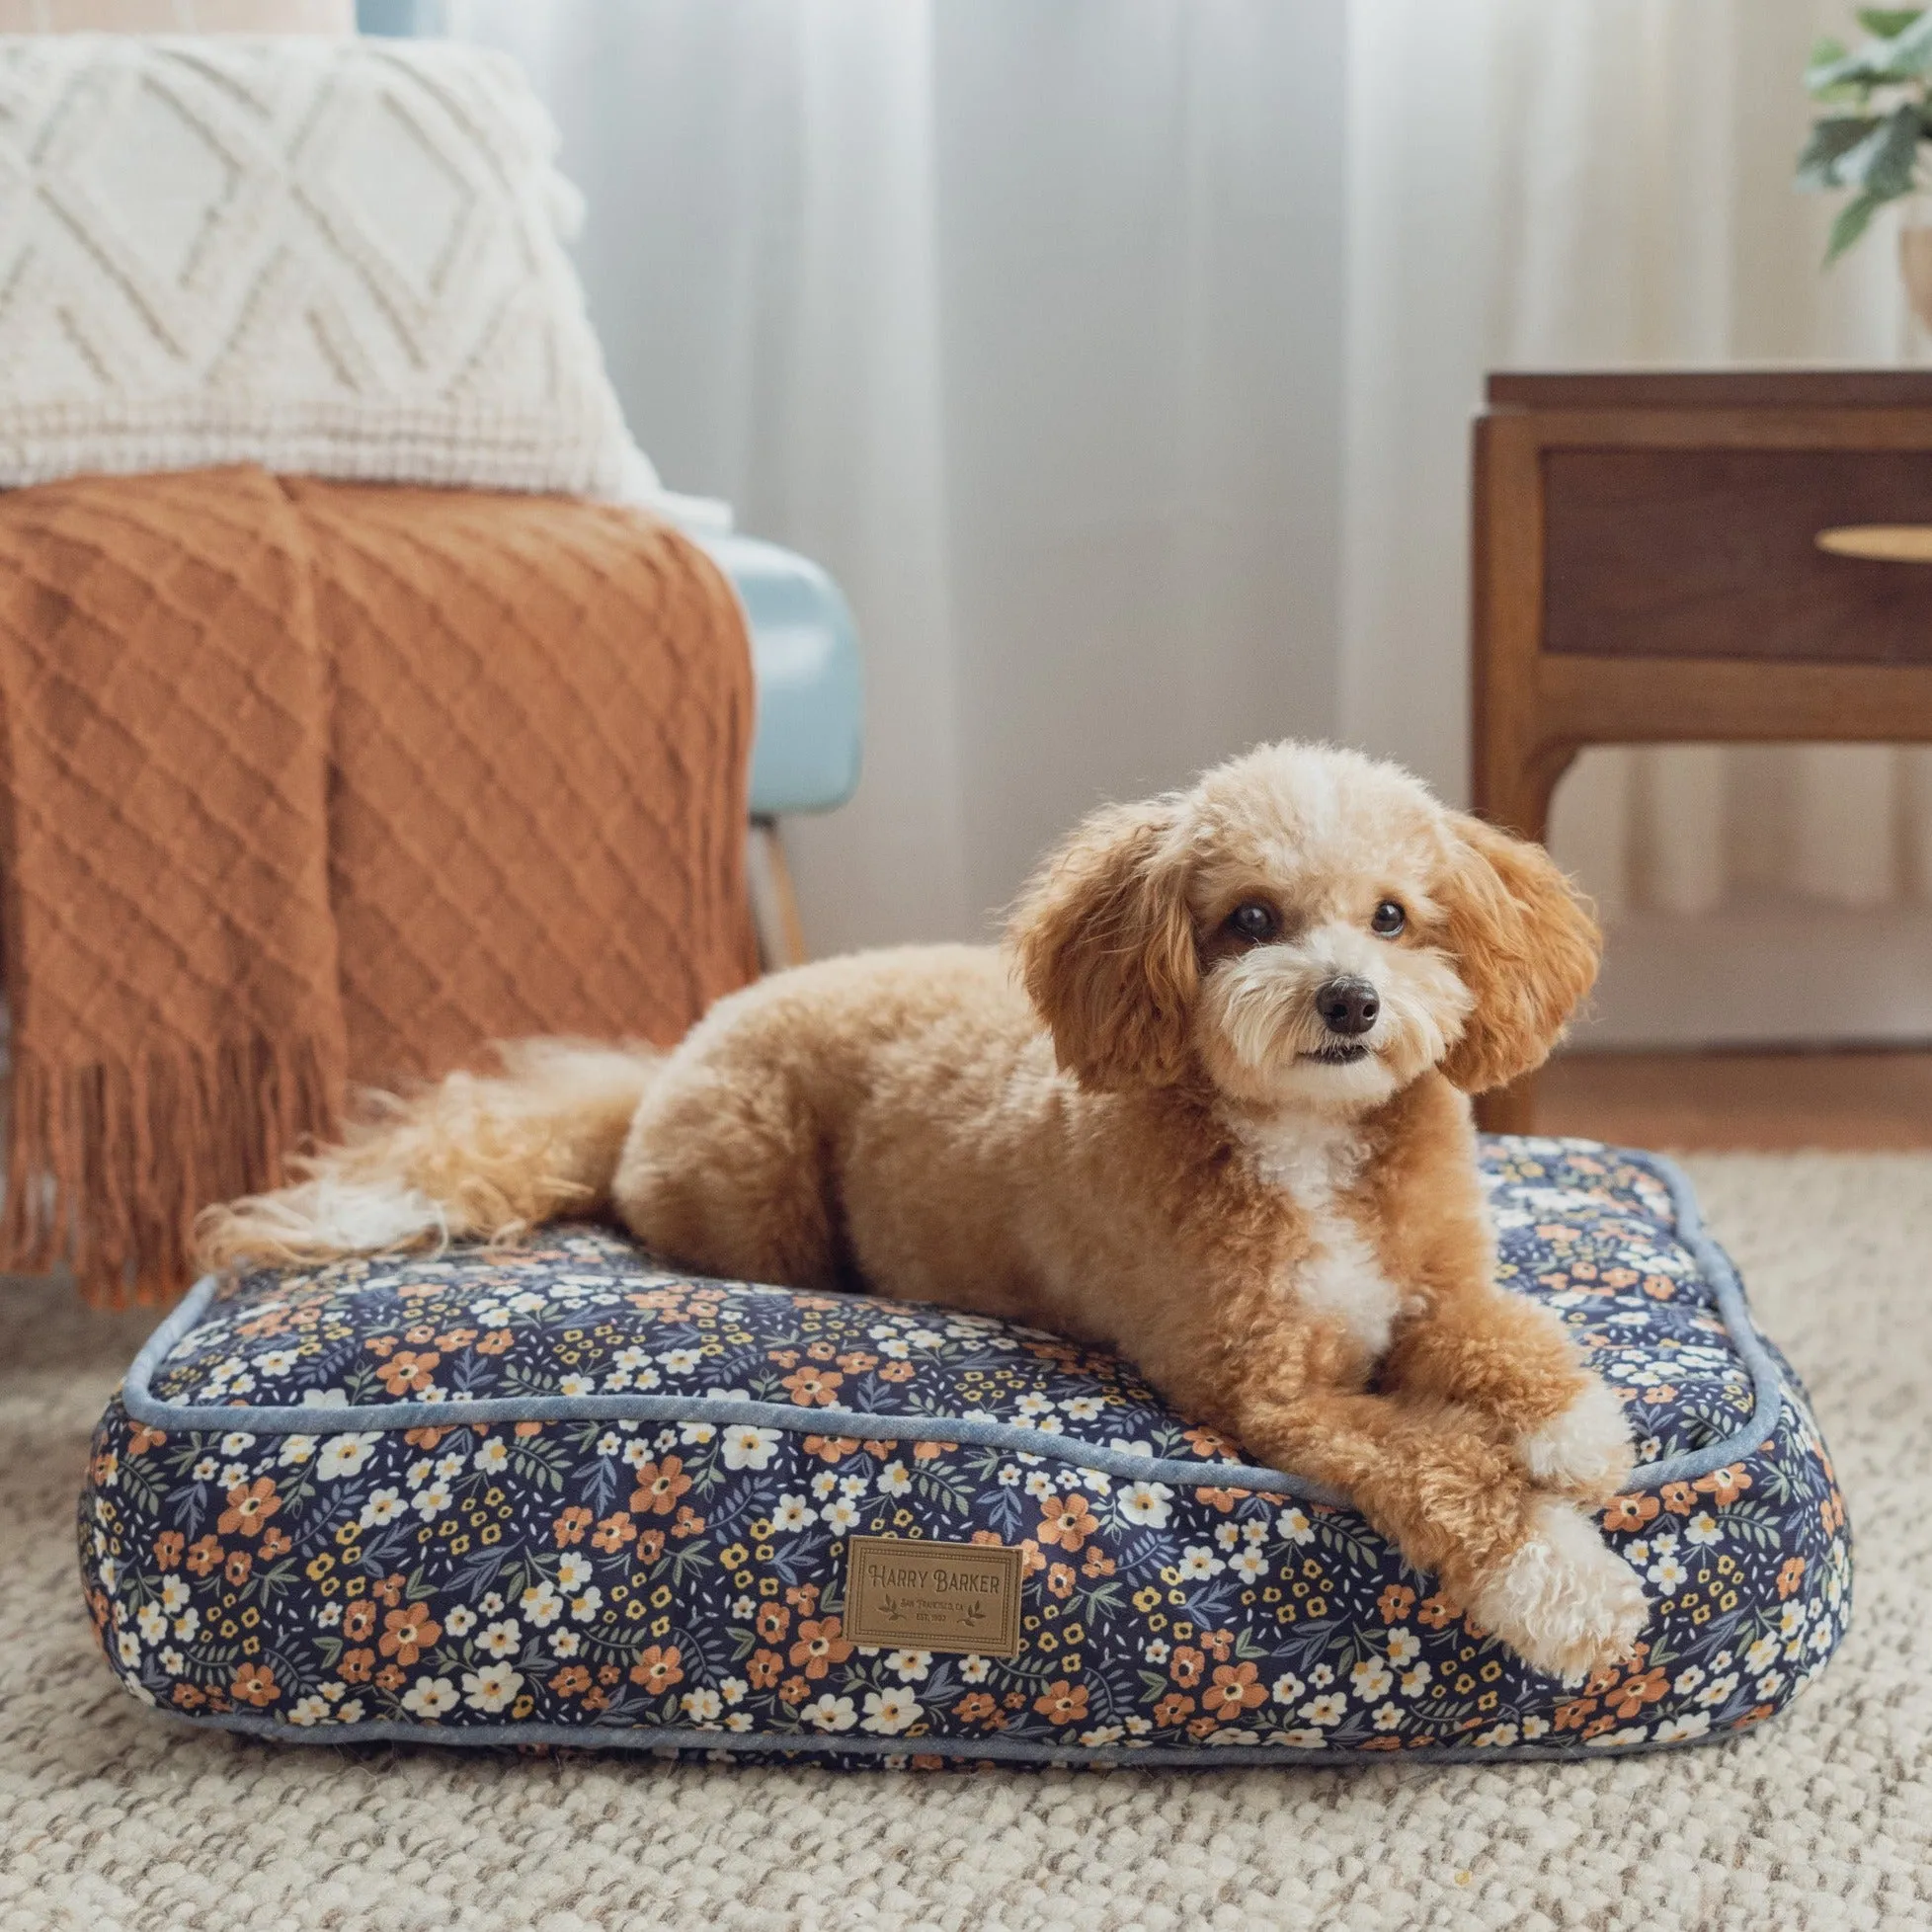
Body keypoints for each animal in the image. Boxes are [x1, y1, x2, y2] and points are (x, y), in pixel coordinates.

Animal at [200, 746, 1646, 1684]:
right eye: (1249, 920)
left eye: (1394, 917)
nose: (1349, 999)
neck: (1300, 1135)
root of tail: (660, 1070)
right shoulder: (1275, 1394)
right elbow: (1439, 1468)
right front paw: (1565, 1582)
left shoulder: (1434, 1281)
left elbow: (1503, 1331)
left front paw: (1575, 1425)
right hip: (760, 1182)